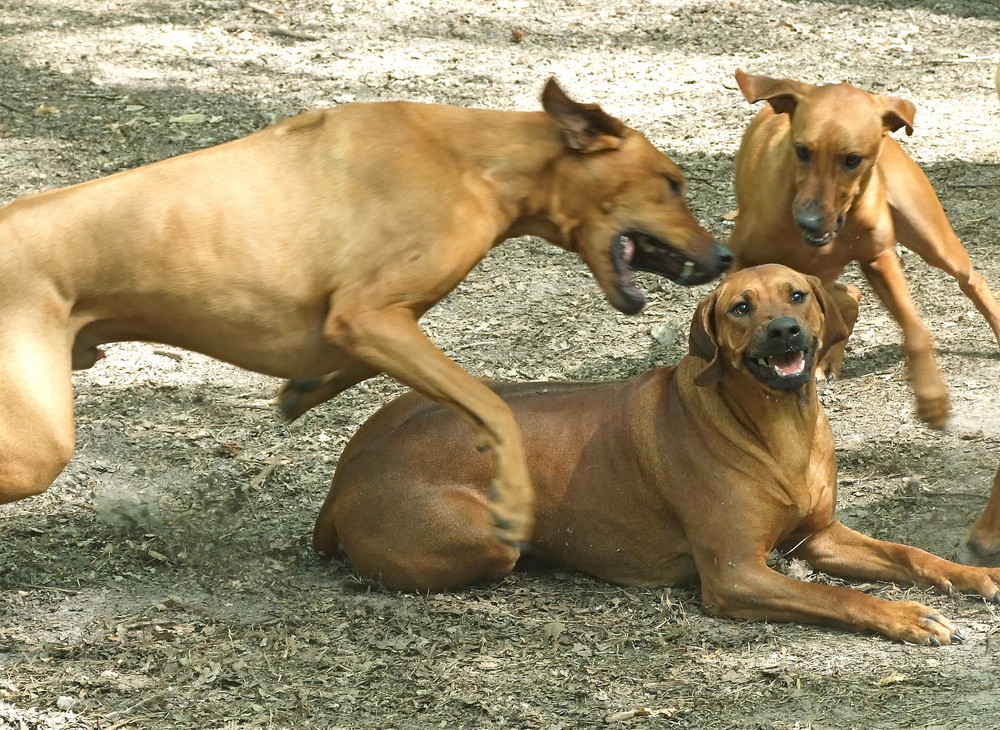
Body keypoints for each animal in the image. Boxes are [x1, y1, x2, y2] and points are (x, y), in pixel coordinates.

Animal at [0, 79, 732, 544]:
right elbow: (492, 406)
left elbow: (347, 373)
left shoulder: (366, 327)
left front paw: (299, 393)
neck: (481, 163)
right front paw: (514, 504)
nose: (725, 256)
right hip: (40, 441)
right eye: (672, 183)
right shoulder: (368, 316)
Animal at [316, 264, 1000, 644]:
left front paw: (974, 575)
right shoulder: (735, 575)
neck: (779, 430)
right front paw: (907, 617)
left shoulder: (820, 537)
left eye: (797, 295)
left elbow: (910, 554)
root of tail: (343, 477)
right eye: (740, 308)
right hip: (489, 535)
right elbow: (841, 598)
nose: (783, 331)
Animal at [724, 69, 1000, 426]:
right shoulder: (744, 263)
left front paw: (931, 395)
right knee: (849, 297)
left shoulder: (879, 259)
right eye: (802, 151)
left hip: (932, 240)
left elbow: (915, 328)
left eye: (852, 159)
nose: (809, 221)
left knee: (971, 279)